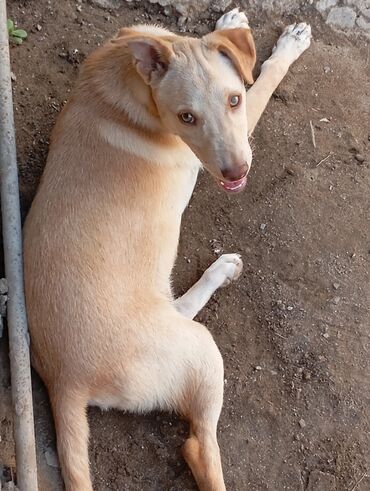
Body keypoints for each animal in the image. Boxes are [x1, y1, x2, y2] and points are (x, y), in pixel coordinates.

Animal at [23, 8, 310, 491]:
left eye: (233, 100)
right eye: (186, 117)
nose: (236, 173)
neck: (133, 76)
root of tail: (64, 382)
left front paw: (228, 20)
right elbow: (267, 77)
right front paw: (290, 46)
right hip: (199, 350)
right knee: (198, 447)